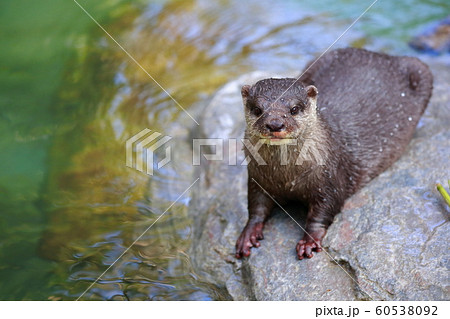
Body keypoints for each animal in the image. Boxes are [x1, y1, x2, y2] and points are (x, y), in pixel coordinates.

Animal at [236, 48, 432, 262]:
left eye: (294, 109)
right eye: (257, 109)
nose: (275, 124)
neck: (287, 178)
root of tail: (380, 55)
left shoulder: (331, 178)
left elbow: (324, 210)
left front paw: (309, 241)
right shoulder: (256, 177)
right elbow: (256, 206)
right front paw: (248, 234)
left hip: (421, 71)